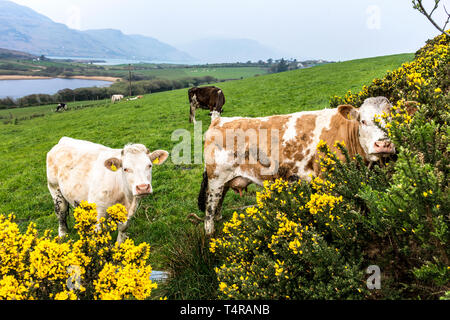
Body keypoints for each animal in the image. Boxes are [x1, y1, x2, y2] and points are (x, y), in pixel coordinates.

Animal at [197, 96, 412, 234]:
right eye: (363, 121)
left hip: (225, 182)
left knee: (217, 208)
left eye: (394, 119)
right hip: (216, 180)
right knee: (209, 211)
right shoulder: (328, 179)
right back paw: (210, 236)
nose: (383, 144)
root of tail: (218, 120)